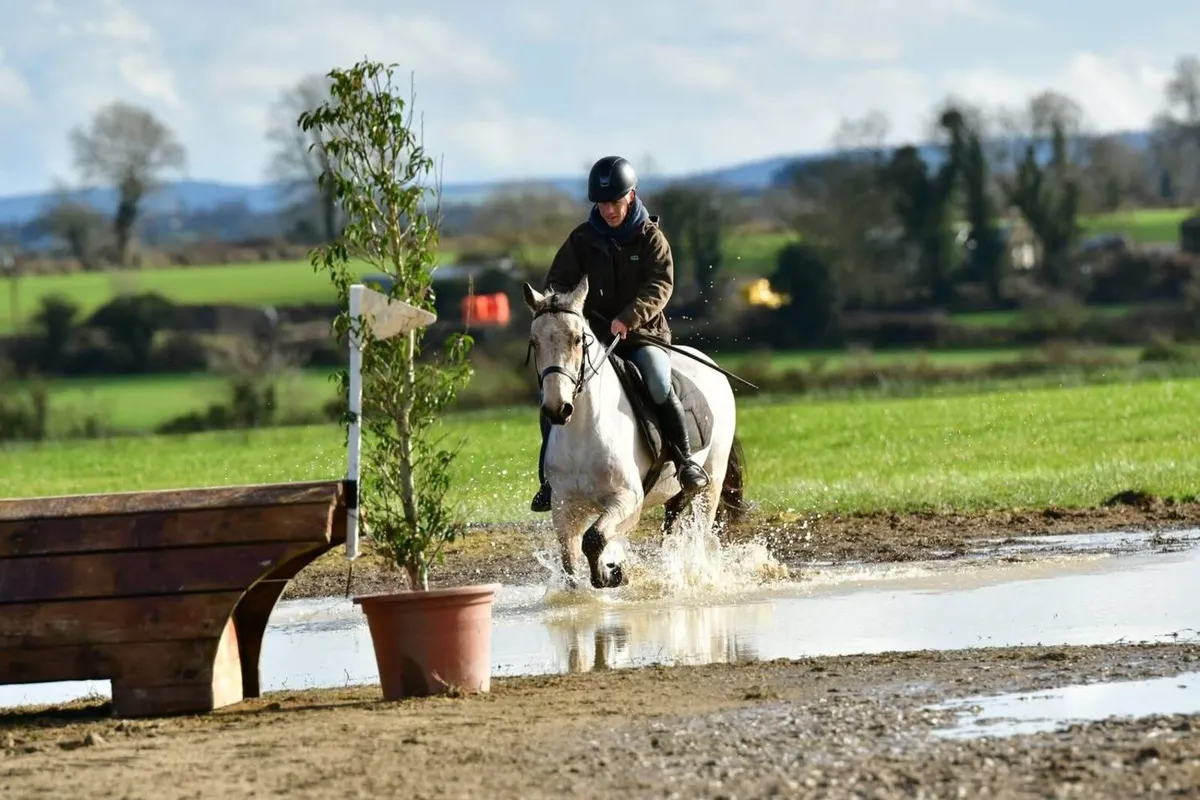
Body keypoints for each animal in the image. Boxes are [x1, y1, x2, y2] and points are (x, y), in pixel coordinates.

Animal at [522, 274, 749, 590]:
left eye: (577, 339)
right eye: (535, 342)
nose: (558, 409)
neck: (583, 433)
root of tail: (712, 366)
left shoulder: (627, 500)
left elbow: (595, 539)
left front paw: (613, 573)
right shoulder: (564, 507)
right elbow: (570, 564)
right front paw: (606, 574)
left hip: (711, 483)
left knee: (702, 534)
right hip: (677, 493)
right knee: (671, 529)